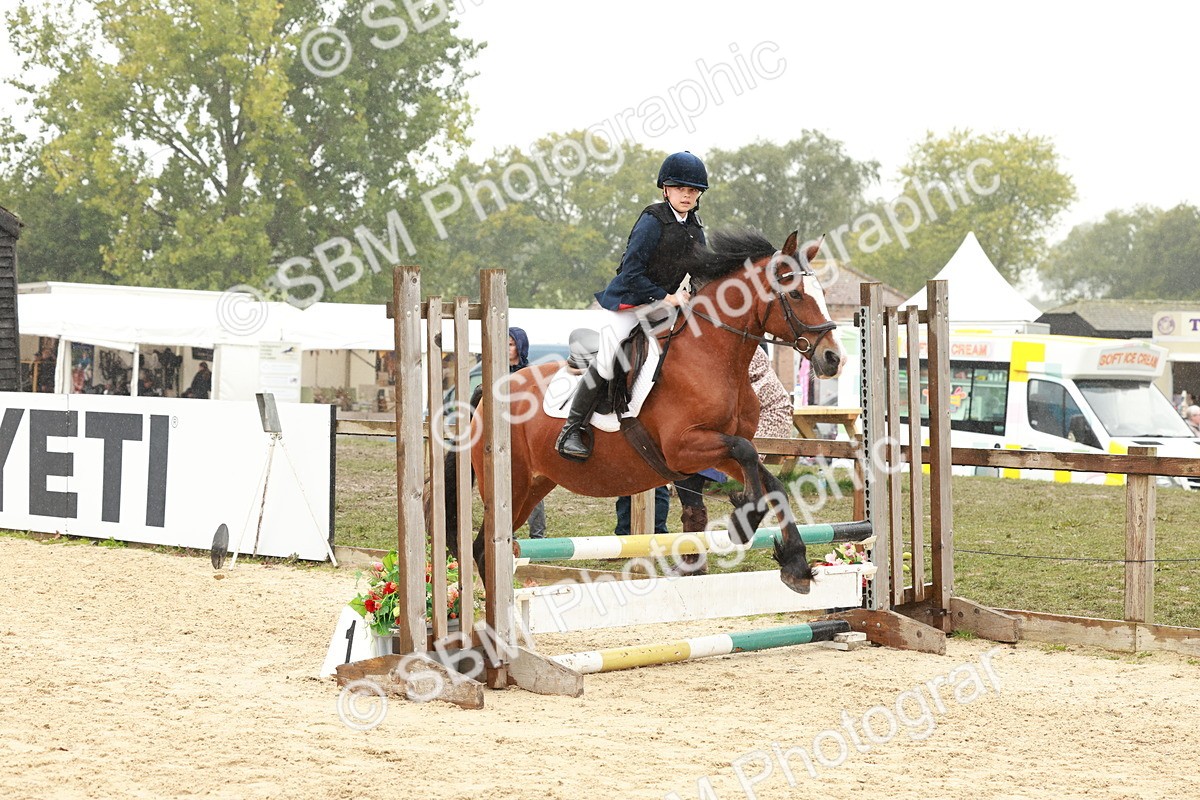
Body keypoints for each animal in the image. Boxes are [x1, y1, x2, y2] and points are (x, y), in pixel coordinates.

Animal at [446, 228, 845, 594]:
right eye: (796, 294)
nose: (833, 358)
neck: (713, 357)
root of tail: (488, 391)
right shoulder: (684, 448)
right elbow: (747, 453)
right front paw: (743, 519)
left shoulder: (717, 451)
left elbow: (771, 481)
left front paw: (795, 564)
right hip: (510, 484)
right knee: (486, 547)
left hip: (535, 485)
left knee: (487, 547)